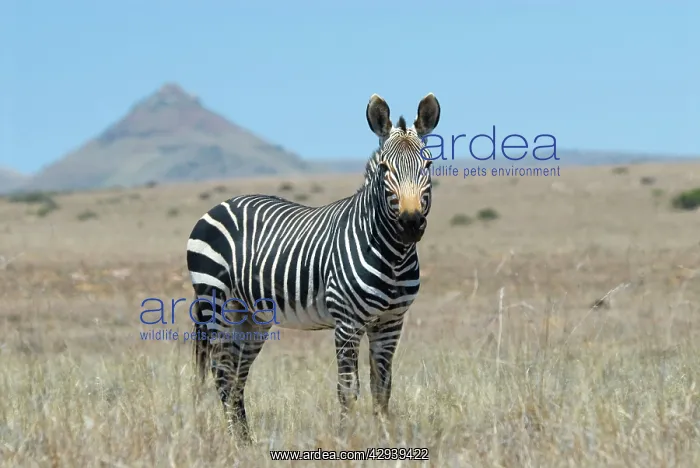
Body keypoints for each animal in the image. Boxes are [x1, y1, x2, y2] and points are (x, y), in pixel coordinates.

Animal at [186, 92, 441, 443]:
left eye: (427, 165)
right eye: (385, 168)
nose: (411, 224)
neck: (394, 257)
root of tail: (221, 204)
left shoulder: (391, 322)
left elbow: (382, 389)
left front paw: (385, 440)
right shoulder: (347, 322)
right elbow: (348, 390)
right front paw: (346, 441)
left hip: (251, 317)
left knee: (237, 377)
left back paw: (247, 442)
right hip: (215, 303)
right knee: (222, 374)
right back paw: (236, 443)